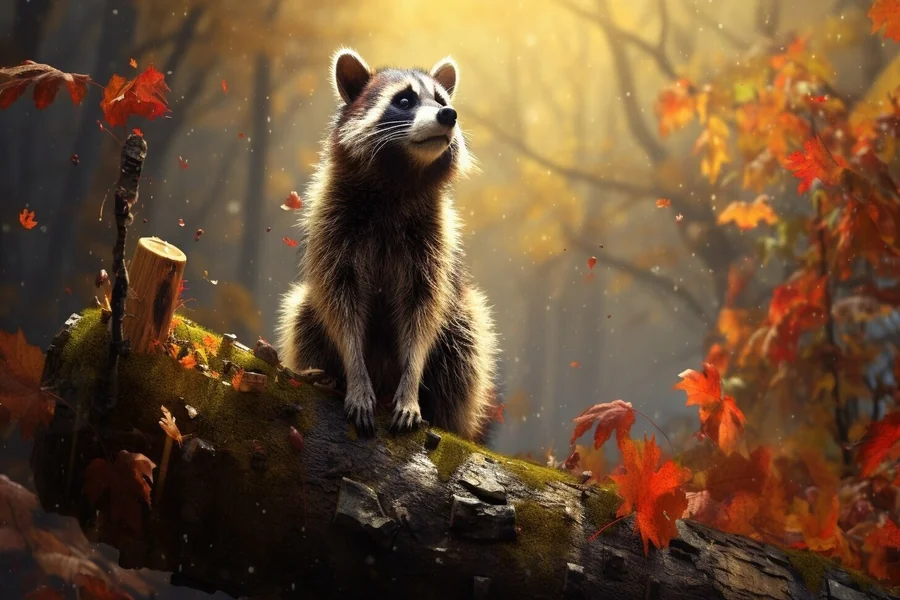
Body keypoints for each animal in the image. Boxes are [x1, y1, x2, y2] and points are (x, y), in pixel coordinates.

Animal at [277, 48, 498, 441]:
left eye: (441, 100)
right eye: (405, 101)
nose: (449, 114)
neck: (400, 177)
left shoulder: (434, 239)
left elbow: (423, 313)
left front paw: (411, 387)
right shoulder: (332, 223)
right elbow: (340, 305)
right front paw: (355, 376)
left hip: (462, 319)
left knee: (465, 338)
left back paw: (444, 416)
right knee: (304, 313)